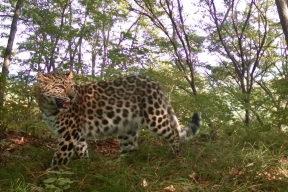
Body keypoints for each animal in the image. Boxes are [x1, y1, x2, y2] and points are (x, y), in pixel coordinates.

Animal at [36, 71, 201, 168]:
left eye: (71, 86)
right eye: (60, 87)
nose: (72, 96)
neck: (49, 107)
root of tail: (154, 82)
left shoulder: (69, 133)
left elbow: (60, 156)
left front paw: (50, 174)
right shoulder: (76, 132)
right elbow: (82, 149)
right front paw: (85, 166)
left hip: (155, 117)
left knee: (173, 133)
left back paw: (176, 157)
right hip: (127, 126)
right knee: (131, 148)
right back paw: (116, 165)